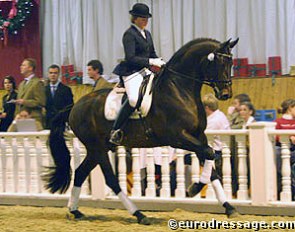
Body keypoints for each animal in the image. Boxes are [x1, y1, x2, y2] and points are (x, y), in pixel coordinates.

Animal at [43, 38, 238, 225]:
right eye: (219, 62)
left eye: (231, 62)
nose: (226, 94)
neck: (179, 89)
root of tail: (74, 106)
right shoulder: (177, 137)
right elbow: (210, 153)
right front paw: (194, 189)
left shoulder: (198, 136)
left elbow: (211, 164)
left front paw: (229, 207)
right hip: (97, 148)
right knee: (111, 180)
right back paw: (139, 214)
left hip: (96, 149)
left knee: (81, 173)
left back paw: (75, 211)